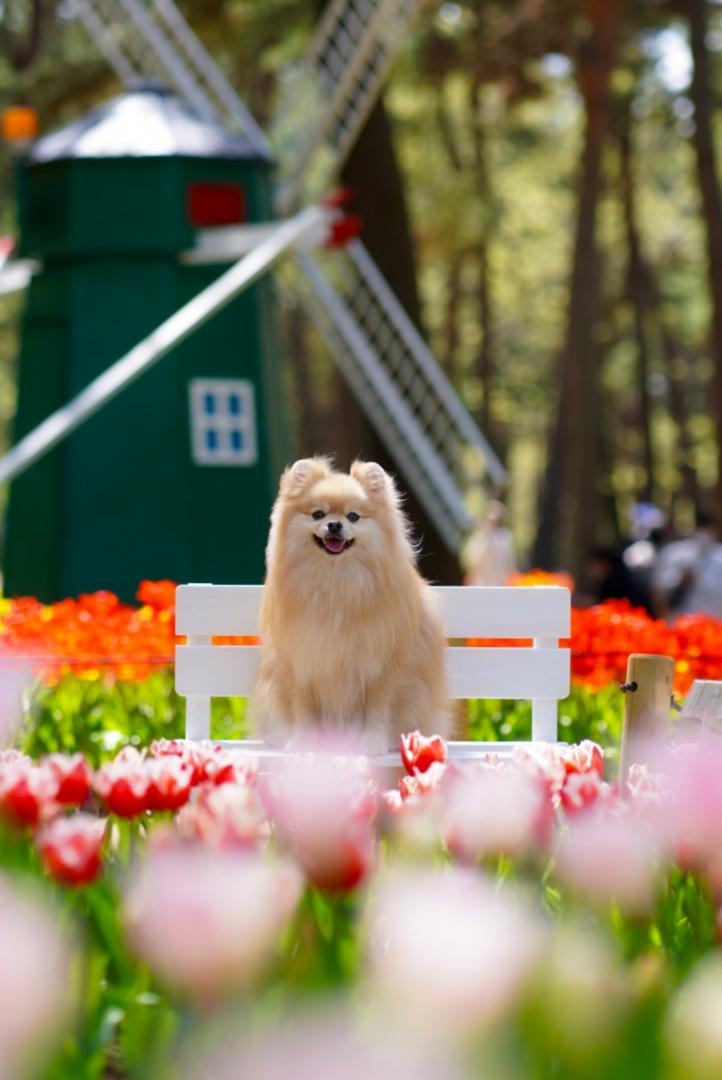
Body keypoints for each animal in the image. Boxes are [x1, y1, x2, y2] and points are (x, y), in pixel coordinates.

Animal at [250, 455, 446, 751]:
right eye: (318, 514)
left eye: (353, 516)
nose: (334, 525)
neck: (337, 580)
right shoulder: (302, 662)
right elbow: (304, 709)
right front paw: (303, 742)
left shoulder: (382, 667)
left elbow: (378, 709)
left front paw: (372, 742)